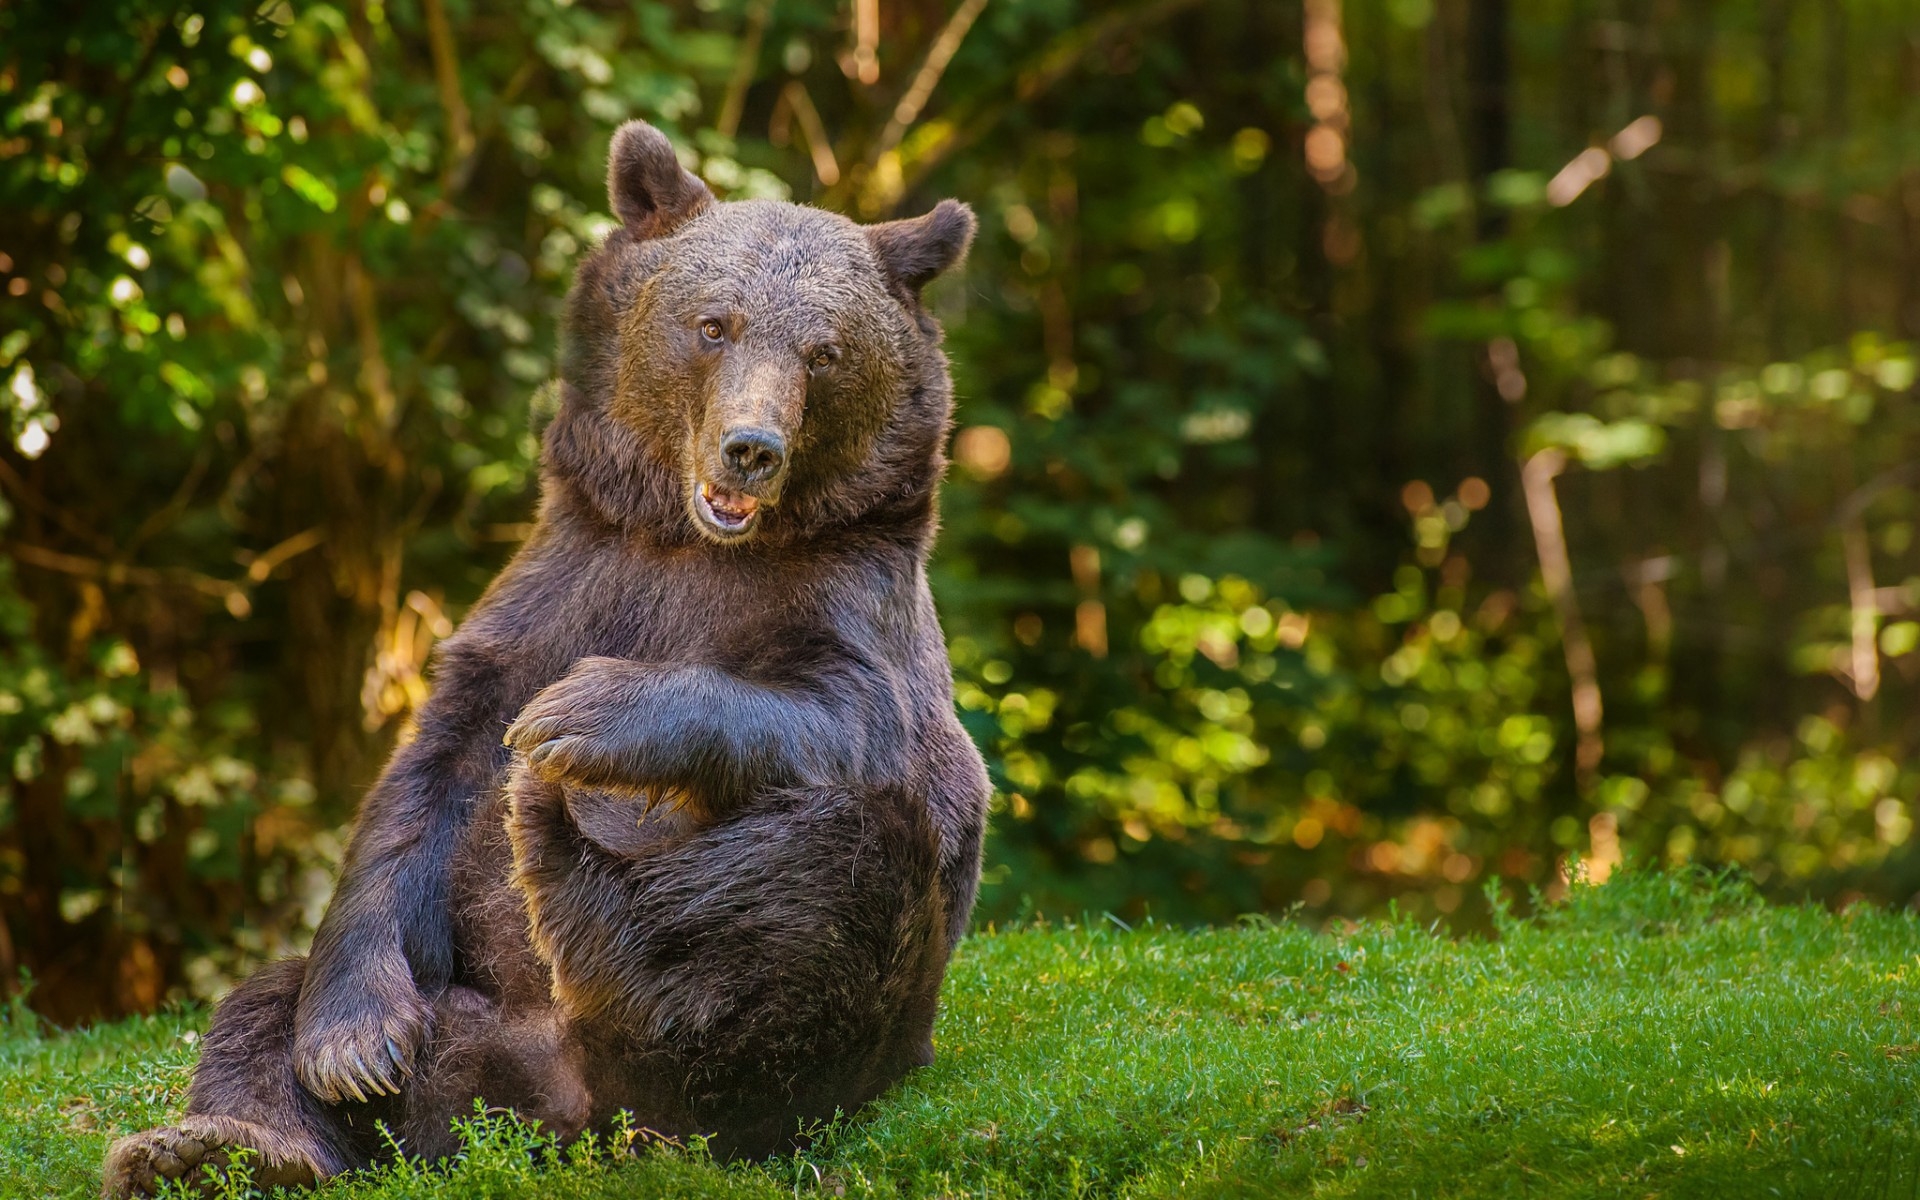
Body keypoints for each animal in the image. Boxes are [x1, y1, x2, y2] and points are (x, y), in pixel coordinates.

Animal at [101, 119, 990, 1197]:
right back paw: (211, 1148)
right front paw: (353, 1043)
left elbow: (844, 715)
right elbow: (428, 778)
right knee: (261, 1012)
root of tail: (561, 1115)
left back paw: (571, 866)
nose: (751, 448)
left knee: (821, 874)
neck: (692, 541)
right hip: (462, 1041)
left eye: (825, 352)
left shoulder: (850, 605)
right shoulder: (566, 583)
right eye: (714, 324)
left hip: (847, 1010)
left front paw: (578, 718)